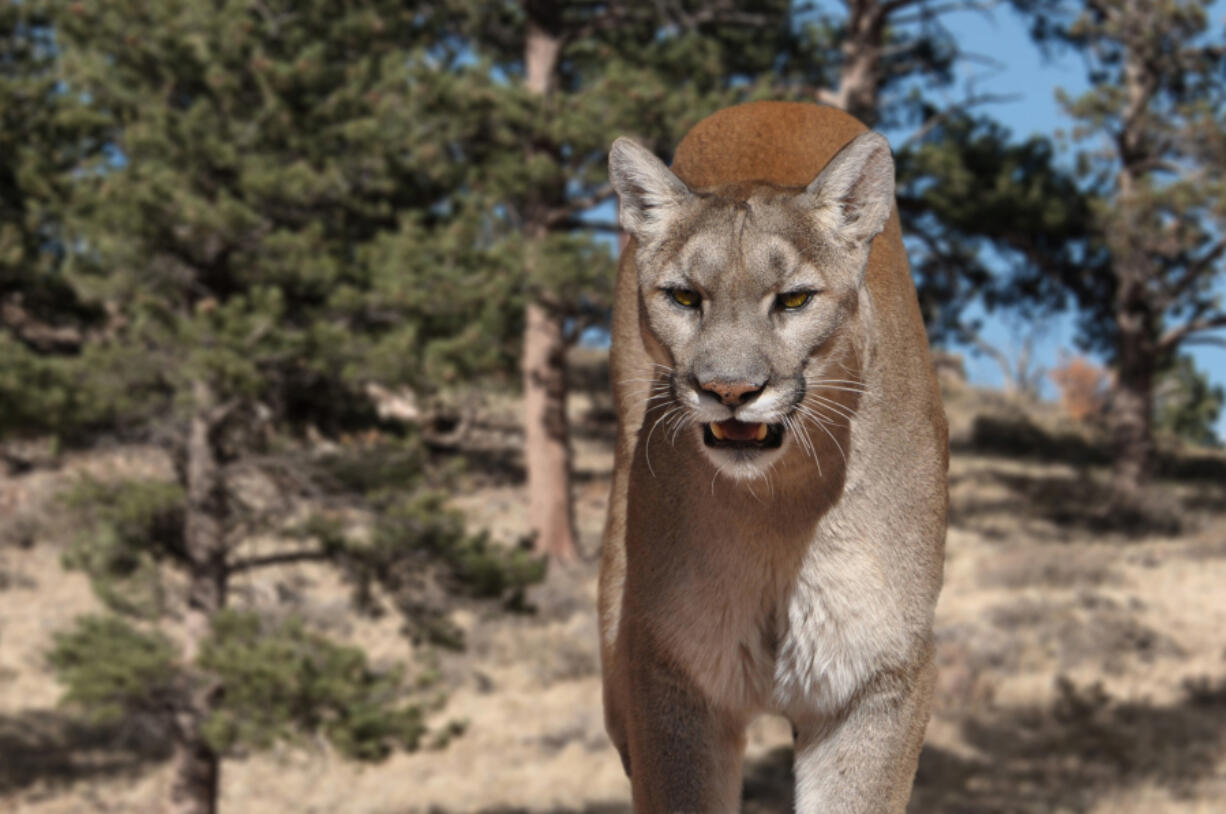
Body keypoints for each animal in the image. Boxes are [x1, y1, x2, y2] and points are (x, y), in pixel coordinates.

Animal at [600, 103, 946, 814]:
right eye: (684, 297)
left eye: (793, 299)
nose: (731, 390)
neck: (779, 509)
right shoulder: (671, 667)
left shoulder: (879, 676)